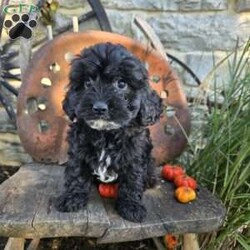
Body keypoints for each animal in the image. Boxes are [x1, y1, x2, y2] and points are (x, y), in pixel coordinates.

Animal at [55, 43, 162, 223]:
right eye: (87, 83)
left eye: (121, 84)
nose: (99, 108)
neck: (106, 134)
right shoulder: (78, 150)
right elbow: (77, 172)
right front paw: (72, 197)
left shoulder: (134, 155)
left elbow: (132, 178)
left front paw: (131, 206)